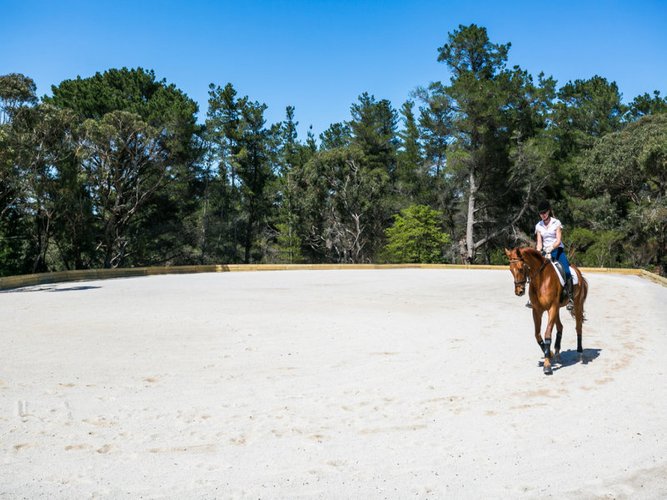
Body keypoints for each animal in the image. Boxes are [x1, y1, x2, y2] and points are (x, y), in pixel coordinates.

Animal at [504, 247, 592, 376]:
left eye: (520, 268)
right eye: (510, 269)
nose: (519, 291)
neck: (541, 279)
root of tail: (579, 273)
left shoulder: (552, 308)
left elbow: (547, 334)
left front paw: (547, 366)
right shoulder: (537, 310)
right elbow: (537, 335)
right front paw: (549, 354)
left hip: (577, 305)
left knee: (578, 327)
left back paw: (580, 354)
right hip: (558, 309)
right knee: (560, 327)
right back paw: (557, 353)